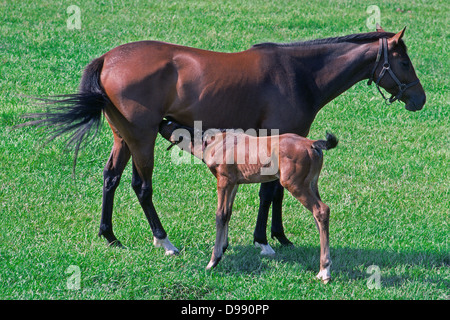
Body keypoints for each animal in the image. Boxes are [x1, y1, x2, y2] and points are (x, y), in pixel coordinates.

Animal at [158, 119, 338, 282]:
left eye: (170, 125)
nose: (161, 122)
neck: (215, 142)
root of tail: (312, 144)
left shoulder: (224, 180)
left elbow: (220, 215)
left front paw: (213, 261)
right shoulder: (234, 183)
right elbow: (228, 213)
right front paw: (223, 247)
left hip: (295, 184)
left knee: (321, 210)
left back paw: (324, 271)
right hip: (312, 184)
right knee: (318, 216)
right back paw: (325, 265)